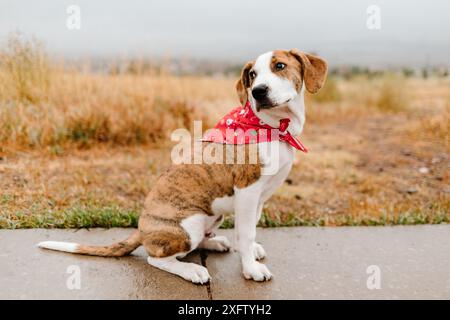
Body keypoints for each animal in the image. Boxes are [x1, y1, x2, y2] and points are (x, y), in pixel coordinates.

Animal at [38, 48, 326, 284]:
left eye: (280, 66)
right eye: (252, 75)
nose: (257, 92)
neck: (275, 128)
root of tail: (141, 229)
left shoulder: (259, 197)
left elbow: (251, 227)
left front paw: (252, 252)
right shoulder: (247, 191)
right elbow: (245, 233)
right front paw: (251, 269)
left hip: (212, 217)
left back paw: (215, 244)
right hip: (188, 226)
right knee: (156, 258)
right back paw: (192, 270)